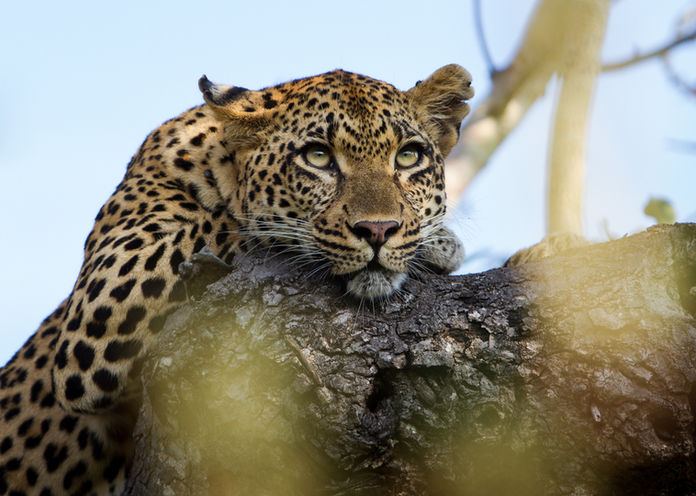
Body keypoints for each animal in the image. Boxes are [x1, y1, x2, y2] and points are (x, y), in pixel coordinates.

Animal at [0, 64, 473, 495]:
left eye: (408, 156)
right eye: (318, 157)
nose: (378, 230)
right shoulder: (104, 296)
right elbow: (228, 224)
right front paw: (440, 243)